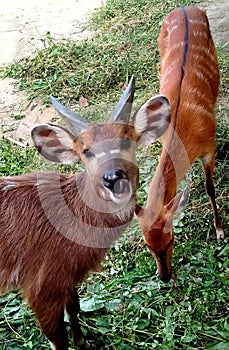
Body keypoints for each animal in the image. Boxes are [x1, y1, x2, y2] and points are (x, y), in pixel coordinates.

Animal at [0, 77, 172, 350]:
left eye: (126, 140)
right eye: (86, 151)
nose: (113, 178)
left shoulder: (66, 279)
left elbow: (75, 308)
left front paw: (84, 343)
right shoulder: (41, 289)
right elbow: (57, 339)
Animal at [136, 6, 224, 284]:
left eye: (171, 239)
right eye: (147, 245)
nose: (164, 277)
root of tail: (186, 7)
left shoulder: (209, 147)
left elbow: (210, 188)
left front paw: (220, 232)